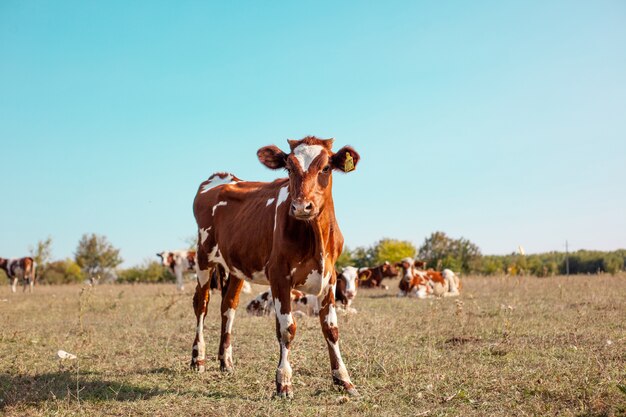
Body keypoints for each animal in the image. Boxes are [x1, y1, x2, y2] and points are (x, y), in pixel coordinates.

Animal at [190, 136, 358, 396]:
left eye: (326, 168)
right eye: (288, 169)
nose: (301, 207)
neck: (316, 236)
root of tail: (223, 177)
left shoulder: (329, 278)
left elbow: (331, 329)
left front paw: (343, 379)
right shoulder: (279, 276)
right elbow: (287, 328)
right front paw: (284, 381)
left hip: (236, 266)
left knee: (228, 307)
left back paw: (226, 361)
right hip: (203, 256)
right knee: (202, 305)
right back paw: (198, 359)